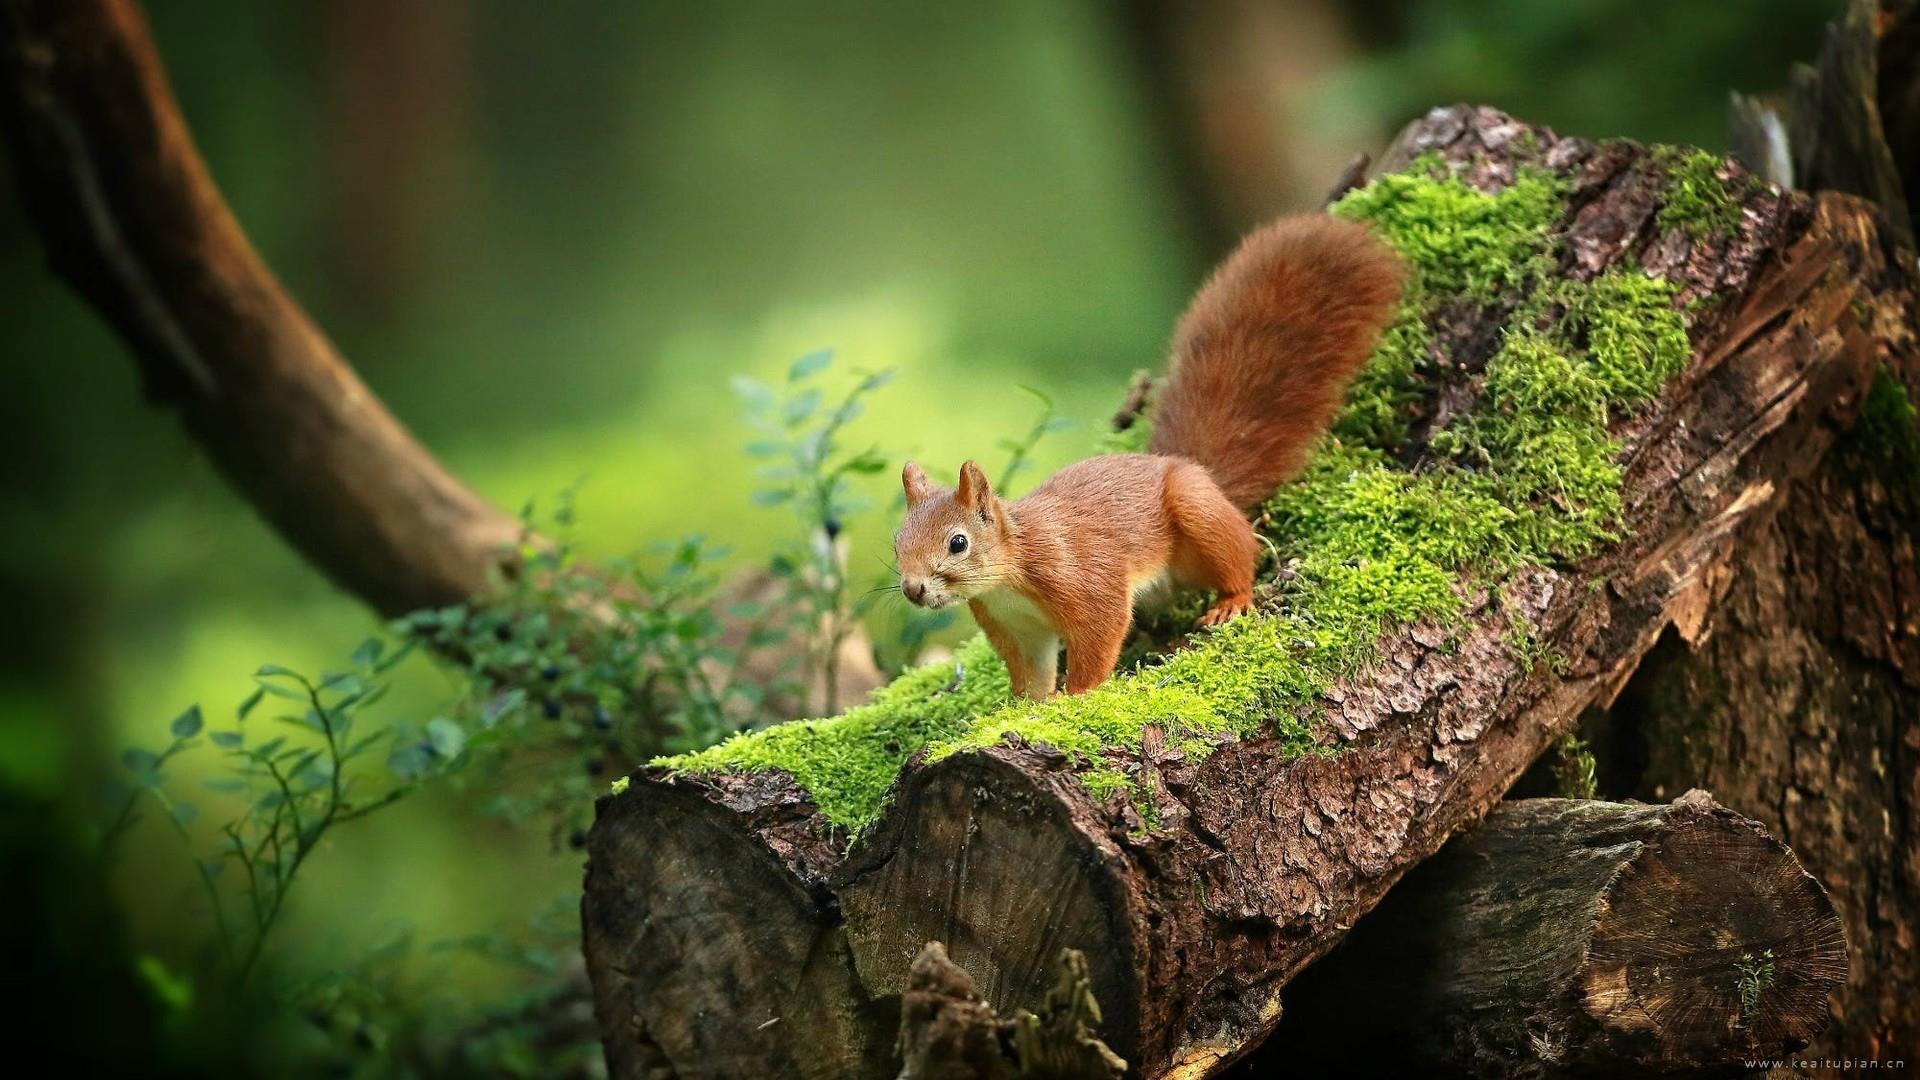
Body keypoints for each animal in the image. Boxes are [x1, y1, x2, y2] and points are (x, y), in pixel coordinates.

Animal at [890, 214, 1405, 691]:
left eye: (958, 543)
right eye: (896, 542)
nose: (913, 589)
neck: (1009, 574)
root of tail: (1189, 467)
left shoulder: (1083, 580)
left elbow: (1100, 635)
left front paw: (1078, 697)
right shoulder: (1016, 626)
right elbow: (1031, 675)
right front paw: (1027, 709)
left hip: (1196, 511)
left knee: (1242, 551)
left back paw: (1233, 600)